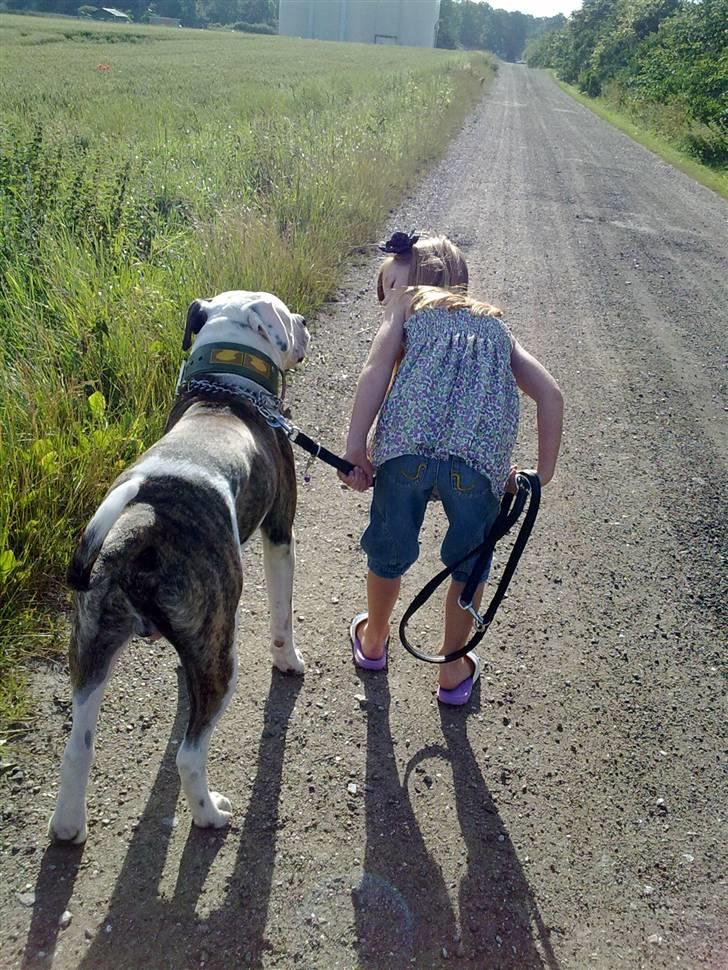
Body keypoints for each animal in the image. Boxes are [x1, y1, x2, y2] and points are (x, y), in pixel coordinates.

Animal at [48, 288, 310, 840]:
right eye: (283, 314)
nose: (302, 320)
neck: (226, 387)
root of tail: (139, 523)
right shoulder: (280, 534)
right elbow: (282, 616)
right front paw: (289, 661)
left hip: (91, 646)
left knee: (77, 749)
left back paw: (68, 826)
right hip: (220, 659)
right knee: (188, 756)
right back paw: (211, 814)